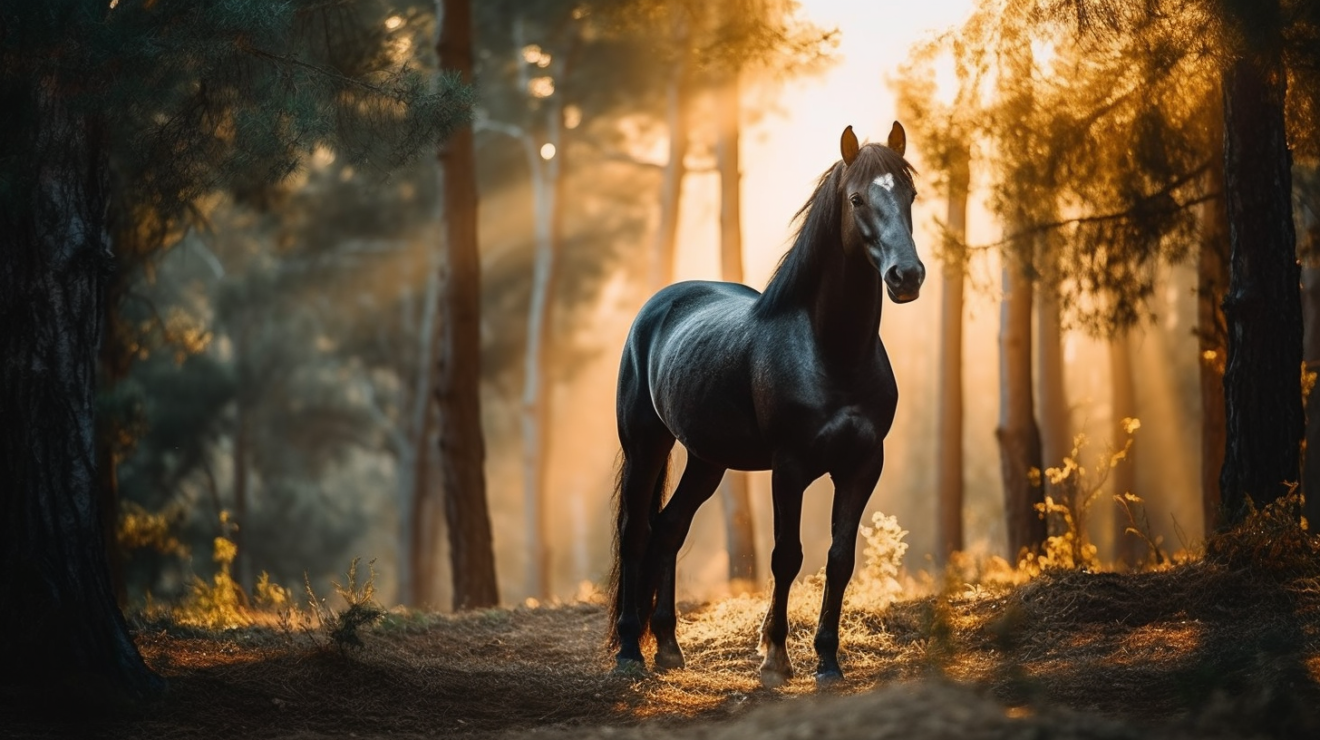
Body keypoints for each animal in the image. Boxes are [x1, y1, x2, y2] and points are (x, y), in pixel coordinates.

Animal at [606, 123, 923, 687]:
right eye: (857, 198)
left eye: (910, 195)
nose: (906, 276)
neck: (830, 352)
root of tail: (657, 305)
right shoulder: (789, 467)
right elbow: (786, 556)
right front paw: (774, 657)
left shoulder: (863, 465)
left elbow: (840, 559)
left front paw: (828, 661)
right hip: (646, 446)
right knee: (635, 530)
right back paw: (629, 651)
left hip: (706, 460)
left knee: (669, 528)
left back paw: (667, 647)